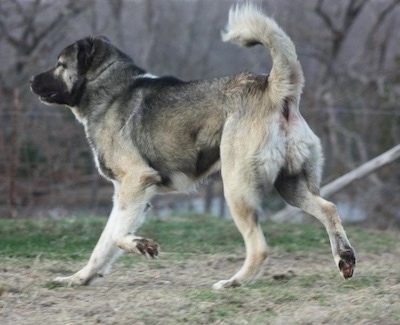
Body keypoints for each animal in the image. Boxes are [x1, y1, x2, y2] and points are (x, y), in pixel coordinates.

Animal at [29, 4, 354, 288]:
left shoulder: (137, 182)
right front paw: (79, 278)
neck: (109, 88)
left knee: (259, 246)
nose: (31, 80)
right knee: (329, 208)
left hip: (236, 188)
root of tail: (273, 88)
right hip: (290, 186)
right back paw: (345, 258)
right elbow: (104, 243)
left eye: (60, 64)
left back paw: (233, 283)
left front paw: (141, 245)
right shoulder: (125, 193)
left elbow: (117, 235)